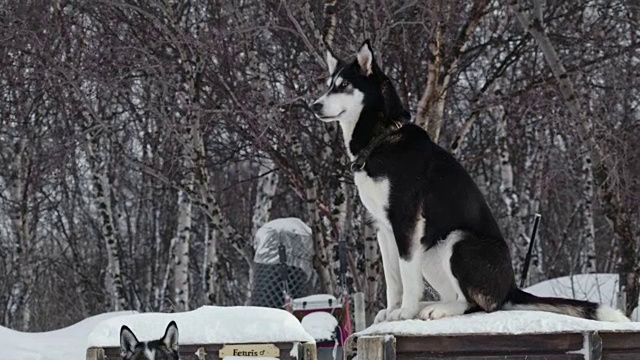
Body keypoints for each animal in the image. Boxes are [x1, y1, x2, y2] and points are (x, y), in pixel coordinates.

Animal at [312, 40, 628, 324]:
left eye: (343, 85)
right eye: (328, 84)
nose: (314, 105)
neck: (382, 138)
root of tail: (511, 287)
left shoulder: (406, 222)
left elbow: (407, 277)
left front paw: (404, 312)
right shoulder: (383, 228)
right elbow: (394, 279)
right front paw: (393, 310)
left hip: (459, 242)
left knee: (475, 303)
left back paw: (435, 310)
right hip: (432, 250)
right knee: (457, 296)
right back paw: (429, 306)